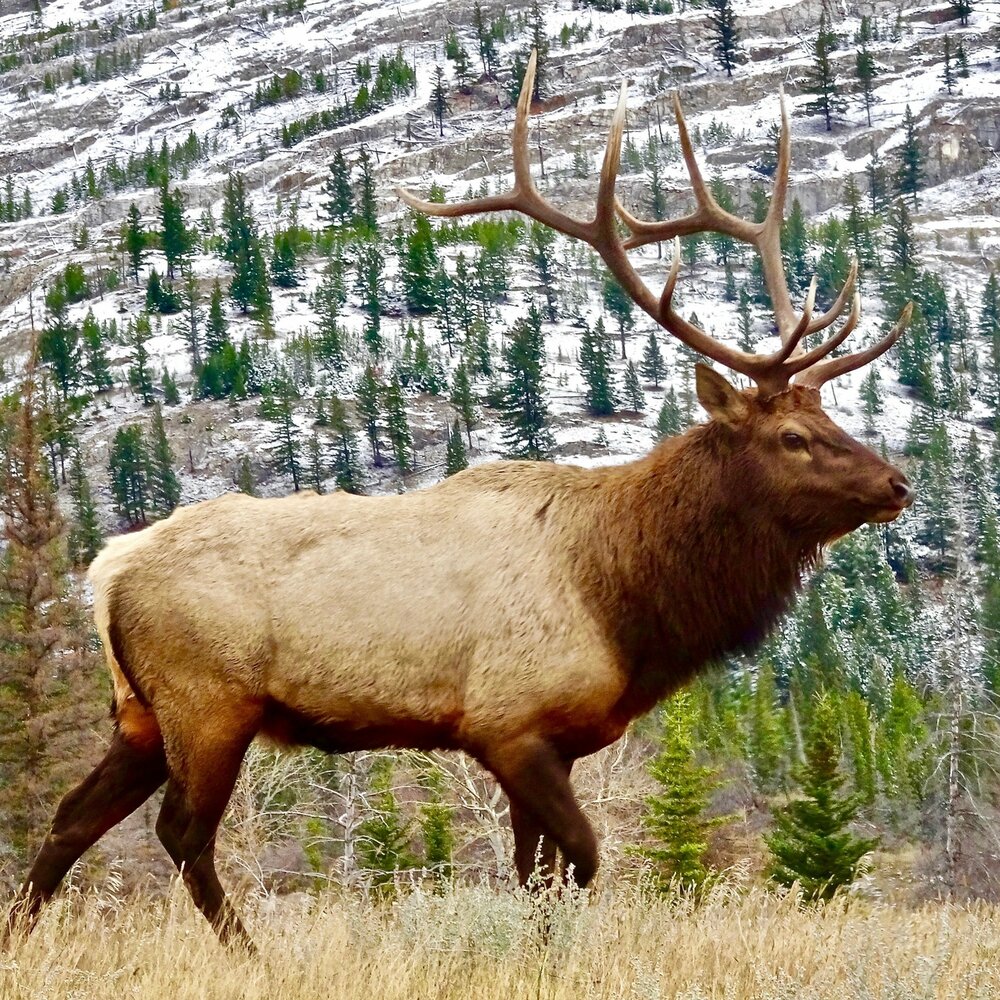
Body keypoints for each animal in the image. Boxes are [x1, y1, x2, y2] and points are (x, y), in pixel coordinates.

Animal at [9, 52, 916, 944]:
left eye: (830, 415)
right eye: (792, 437)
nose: (897, 483)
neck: (625, 600)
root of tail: (107, 571)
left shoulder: (557, 741)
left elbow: (538, 875)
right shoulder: (507, 723)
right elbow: (580, 862)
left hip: (140, 714)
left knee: (71, 817)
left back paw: (22, 937)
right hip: (209, 700)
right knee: (182, 834)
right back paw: (249, 953)